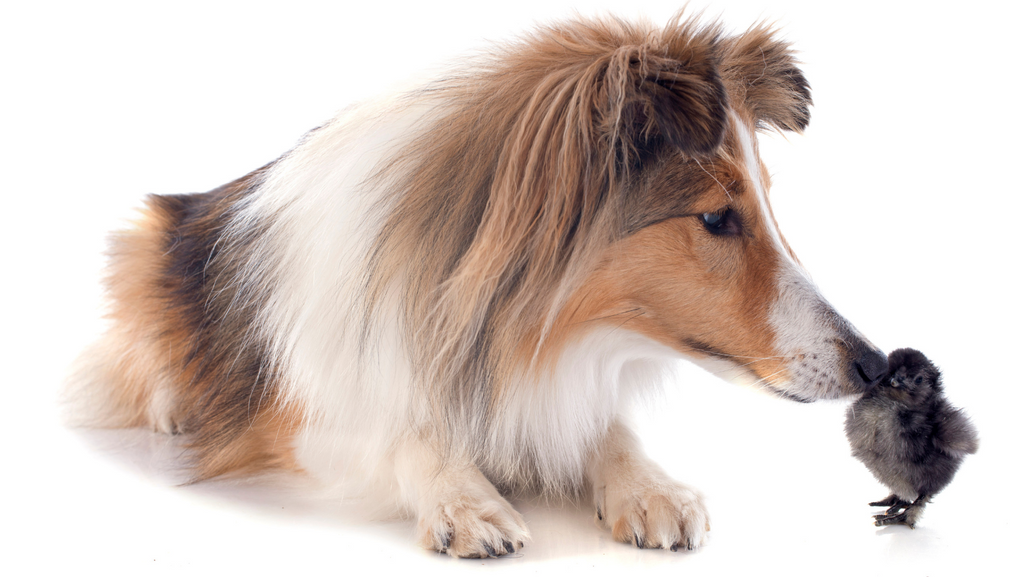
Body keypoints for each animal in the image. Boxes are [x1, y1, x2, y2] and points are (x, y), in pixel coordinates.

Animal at [72, 14, 888, 561]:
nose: (876, 365)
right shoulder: (305, 413)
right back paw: (172, 404)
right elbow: (406, 431)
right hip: (136, 248)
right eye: (717, 217)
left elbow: (605, 428)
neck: (515, 332)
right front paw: (466, 501)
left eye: (770, 206)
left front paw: (651, 486)